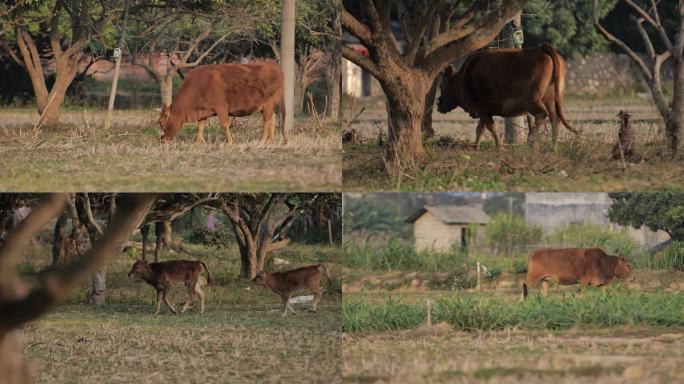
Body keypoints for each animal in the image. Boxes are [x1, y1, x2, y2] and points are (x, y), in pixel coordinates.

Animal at [158, 59, 286, 145]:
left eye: (160, 121)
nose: (162, 140)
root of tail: (272, 63)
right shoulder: (203, 110)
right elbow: (200, 126)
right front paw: (197, 143)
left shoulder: (221, 107)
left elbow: (225, 124)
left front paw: (229, 142)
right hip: (268, 106)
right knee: (272, 120)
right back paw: (270, 140)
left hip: (269, 103)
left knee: (267, 121)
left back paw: (262, 141)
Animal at [440, 44, 580, 150]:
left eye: (442, 86)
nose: (438, 104)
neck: (465, 76)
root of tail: (541, 48)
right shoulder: (484, 111)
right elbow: (480, 129)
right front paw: (475, 147)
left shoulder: (482, 108)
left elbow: (490, 127)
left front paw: (500, 147)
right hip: (550, 99)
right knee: (555, 119)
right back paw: (553, 147)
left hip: (532, 101)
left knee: (542, 114)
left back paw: (531, 140)